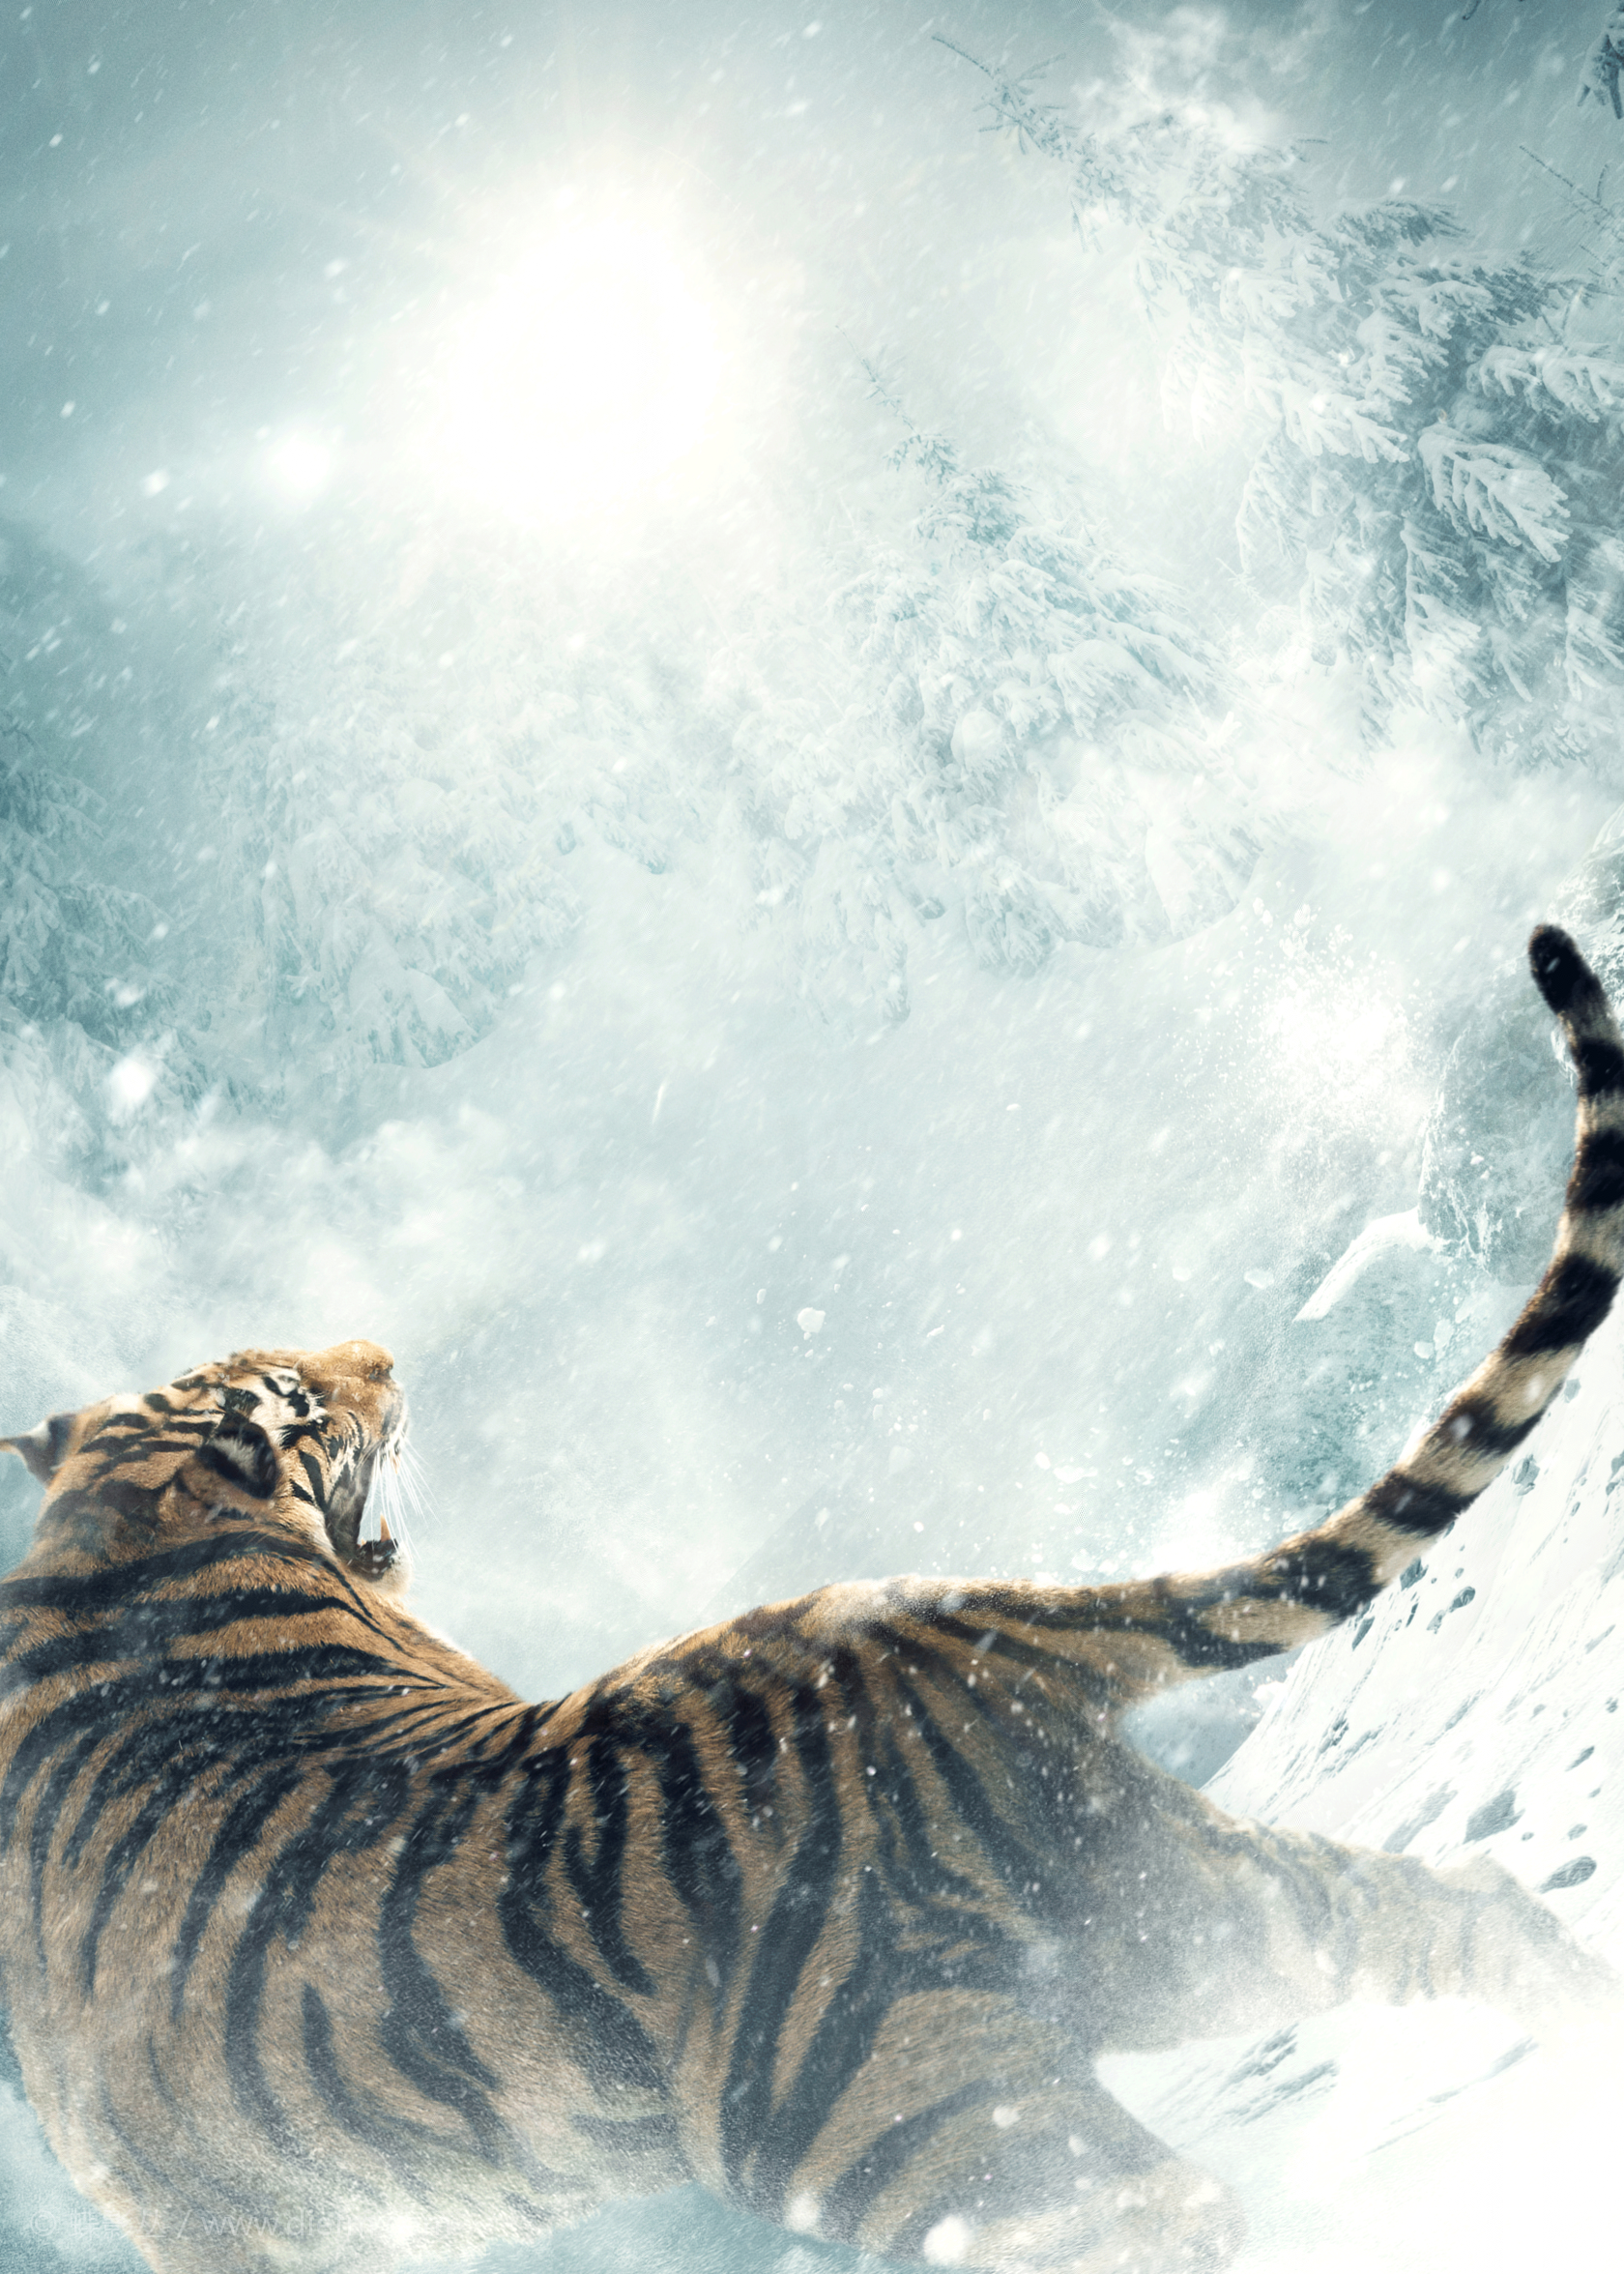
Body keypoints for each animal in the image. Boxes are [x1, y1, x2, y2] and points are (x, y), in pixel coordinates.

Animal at [0, 922, 1620, 2274]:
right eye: (304, 1390)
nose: (383, 1354)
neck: (105, 1553)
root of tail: (936, 1624)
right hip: (1181, 1918)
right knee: (1457, 1909)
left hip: (900, 2112)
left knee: (1170, 2210)